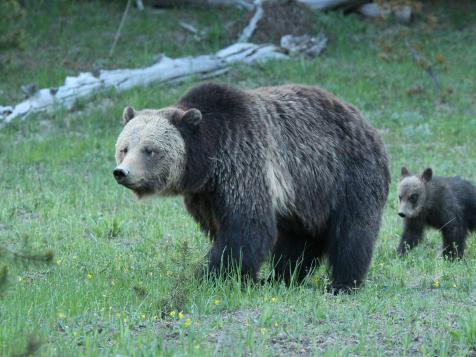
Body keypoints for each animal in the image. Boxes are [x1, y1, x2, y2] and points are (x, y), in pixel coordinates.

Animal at [114, 83, 390, 292]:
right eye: (124, 148)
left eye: (149, 150)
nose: (122, 172)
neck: (208, 161)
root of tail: (365, 122)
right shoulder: (205, 195)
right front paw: (241, 276)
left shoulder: (243, 163)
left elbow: (245, 226)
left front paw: (214, 276)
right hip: (306, 196)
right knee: (299, 238)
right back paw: (282, 277)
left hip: (348, 176)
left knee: (352, 232)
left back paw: (342, 283)